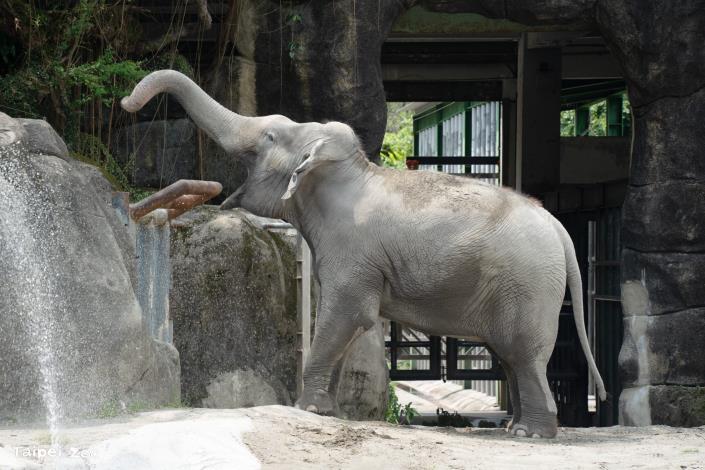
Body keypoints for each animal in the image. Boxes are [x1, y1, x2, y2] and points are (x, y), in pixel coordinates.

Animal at [122, 70, 606, 438]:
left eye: (270, 136)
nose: (127, 102)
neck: (345, 168)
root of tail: (558, 229)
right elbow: (339, 322)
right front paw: (326, 412)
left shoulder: (352, 251)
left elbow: (347, 315)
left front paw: (304, 408)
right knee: (510, 356)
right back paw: (515, 427)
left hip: (528, 284)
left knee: (522, 354)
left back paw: (530, 433)